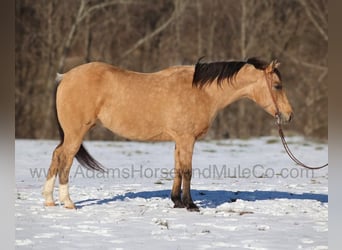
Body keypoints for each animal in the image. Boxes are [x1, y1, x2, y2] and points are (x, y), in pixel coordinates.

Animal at [42, 57, 294, 211]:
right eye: (277, 85)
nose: (289, 115)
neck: (202, 92)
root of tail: (65, 76)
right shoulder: (187, 139)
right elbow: (187, 171)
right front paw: (191, 205)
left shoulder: (178, 140)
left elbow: (177, 170)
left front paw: (177, 202)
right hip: (75, 133)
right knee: (65, 159)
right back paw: (67, 202)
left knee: (56, 156)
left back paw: (49, 200)